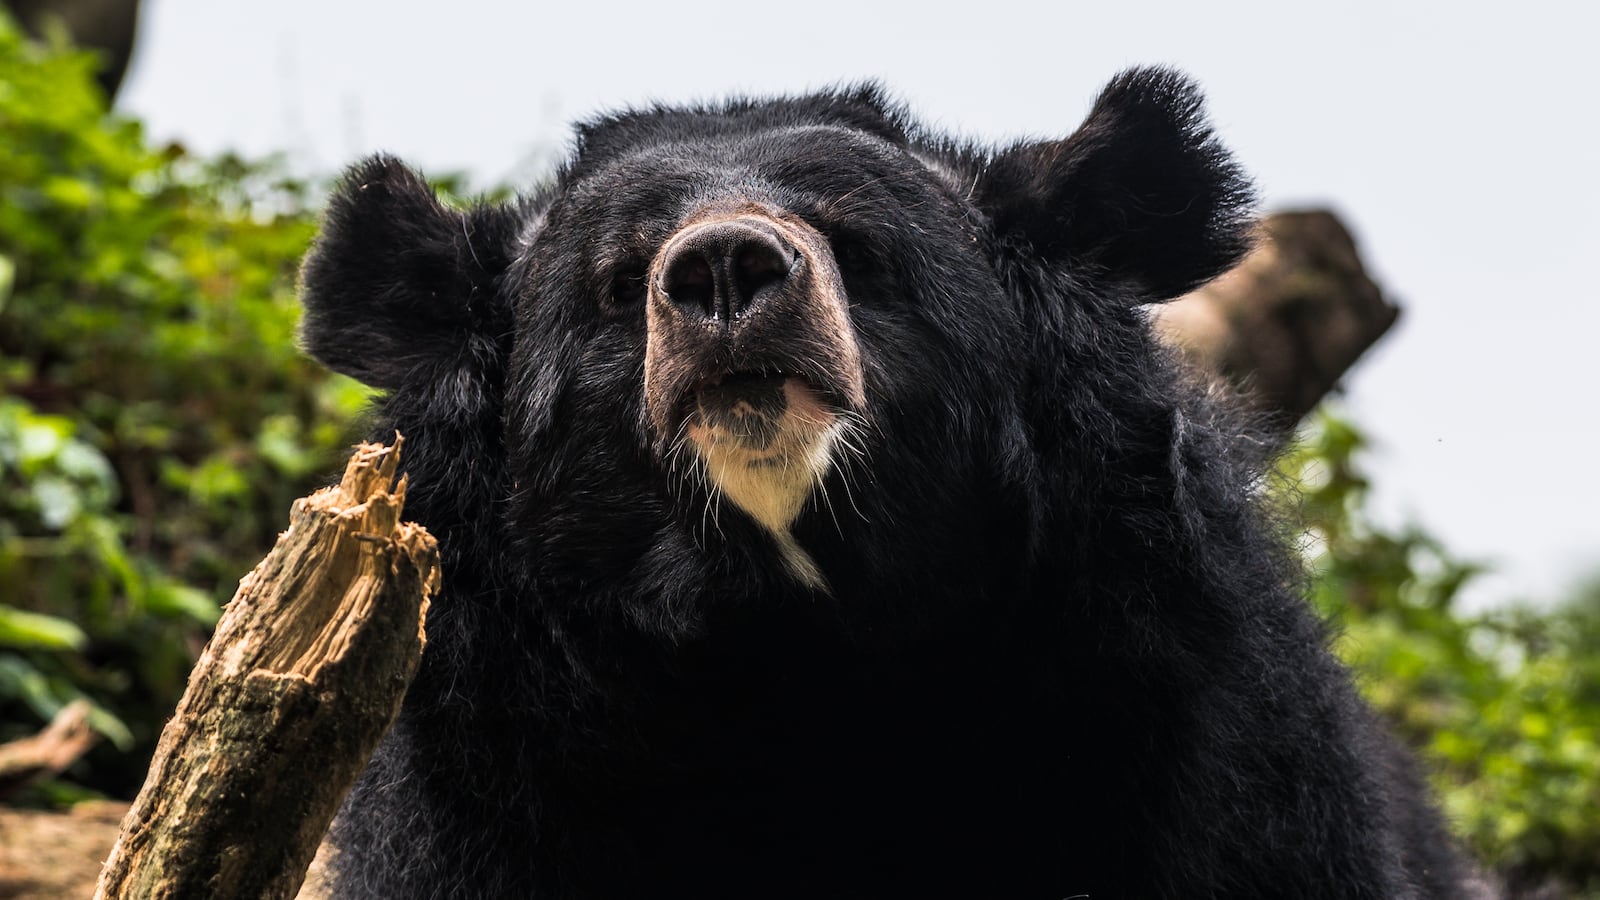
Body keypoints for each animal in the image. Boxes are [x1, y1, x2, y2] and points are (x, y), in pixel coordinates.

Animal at [297, 68, 1479, 898]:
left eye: (857, 248)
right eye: (620, 280)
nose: (723, 270)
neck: (803, 636)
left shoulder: (1199, 730)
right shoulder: (494, 785)